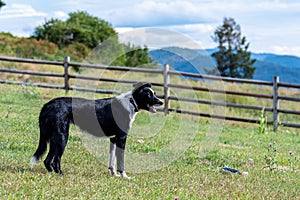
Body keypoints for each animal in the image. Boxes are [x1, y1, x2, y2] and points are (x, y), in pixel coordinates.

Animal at [30, 82, 163, 179]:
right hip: (62, 138)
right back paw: (61, 174)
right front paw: (124, 176)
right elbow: (120, 160)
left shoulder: (114, 138)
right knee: (55, 160)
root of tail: (47, 105)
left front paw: (113, 175)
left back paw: (52, 173)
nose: (161, 102)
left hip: (55, 139)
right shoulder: (121, 138)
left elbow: (112, 161)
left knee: (47, 160)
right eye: (149, 95)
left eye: (155, 93)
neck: (131, 102)